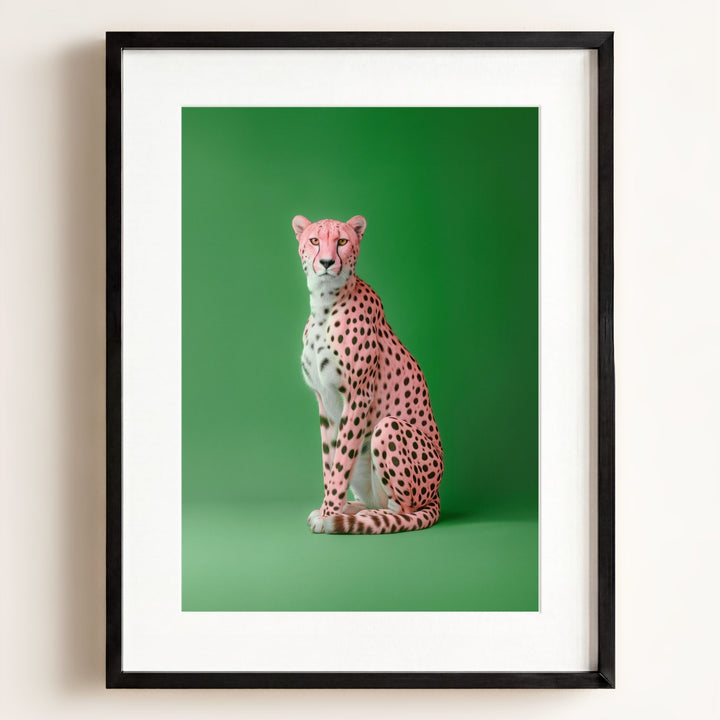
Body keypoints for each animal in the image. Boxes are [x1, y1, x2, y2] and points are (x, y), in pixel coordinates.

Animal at [294, 214, 443, 534]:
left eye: (342, 241)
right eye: (314, 240)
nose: (326, 262)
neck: (324, 304)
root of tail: (436, 494)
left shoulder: (358, 397)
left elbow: (340, 464)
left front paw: (329, 514)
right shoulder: (324, 402)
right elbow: (330, 462)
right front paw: (329, 508)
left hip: (387, 428)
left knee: (404, 510)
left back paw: (361, 517)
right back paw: (353, 509)